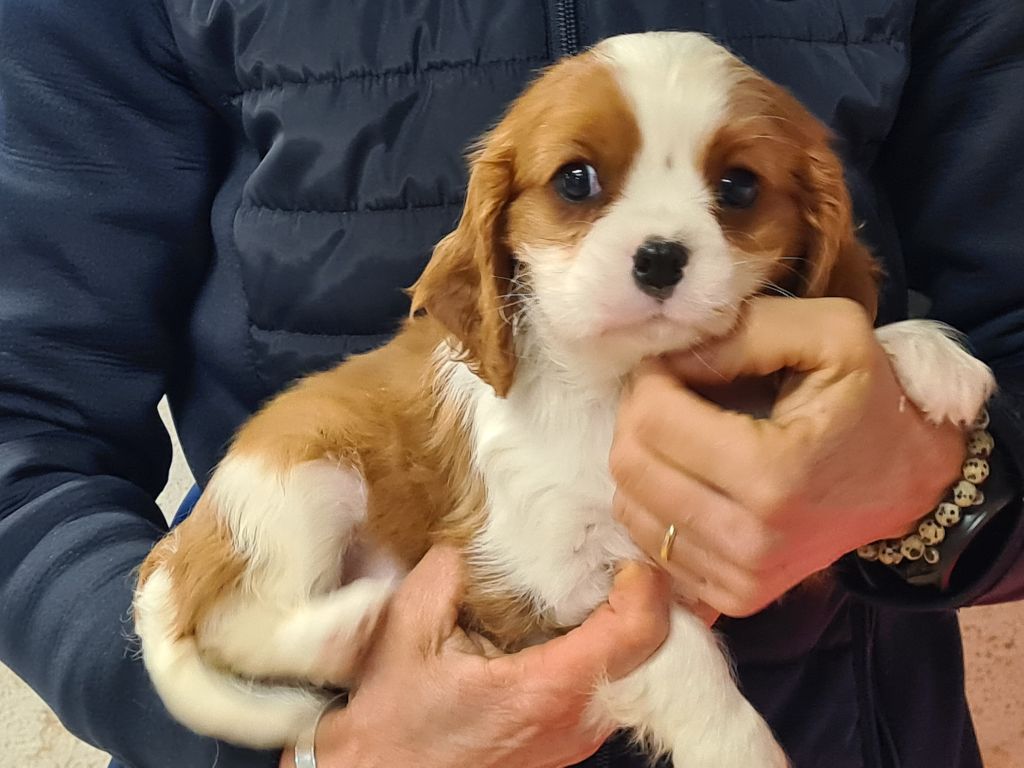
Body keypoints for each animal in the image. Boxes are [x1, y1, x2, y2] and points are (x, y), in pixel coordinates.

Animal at [132, 31, 995, 768]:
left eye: (739, 187)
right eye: (576, 181)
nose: (660, 257)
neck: (615, 384)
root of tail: (176, 554)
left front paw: (918, 353)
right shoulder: (544, 574)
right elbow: (681, 652)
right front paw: (738, 748)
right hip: (306, 479)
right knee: (236, 620)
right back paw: (347, 624)